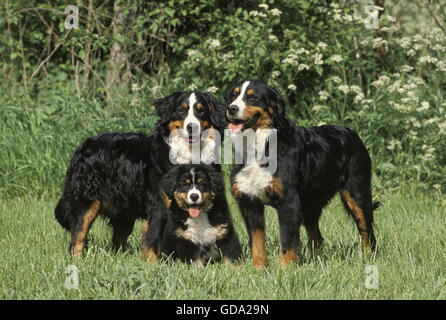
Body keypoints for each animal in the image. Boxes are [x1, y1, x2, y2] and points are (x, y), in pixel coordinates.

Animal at [54, 90, 225, 260]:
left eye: (201, 110)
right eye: (181, 110)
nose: (192, 127)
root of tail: (84, 145)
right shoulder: (159, 205)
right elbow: (153, 237)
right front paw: (153, 264)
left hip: (124, 209)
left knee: (118, 238)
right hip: (86, 201)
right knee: (78, 236)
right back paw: (77, 260)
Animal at [225, 79, 378, 268]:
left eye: (253, 97)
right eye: (234, 95)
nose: (231, 108)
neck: (260, 146)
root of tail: (352, 133)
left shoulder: (289, 201)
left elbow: (287, 241)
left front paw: (286, 269)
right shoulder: (250, 202)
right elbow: (257, 241)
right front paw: (260, 268)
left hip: (357, 194)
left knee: (366, 229)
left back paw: (369, 257)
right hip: (310, 202)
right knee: (316, 235)